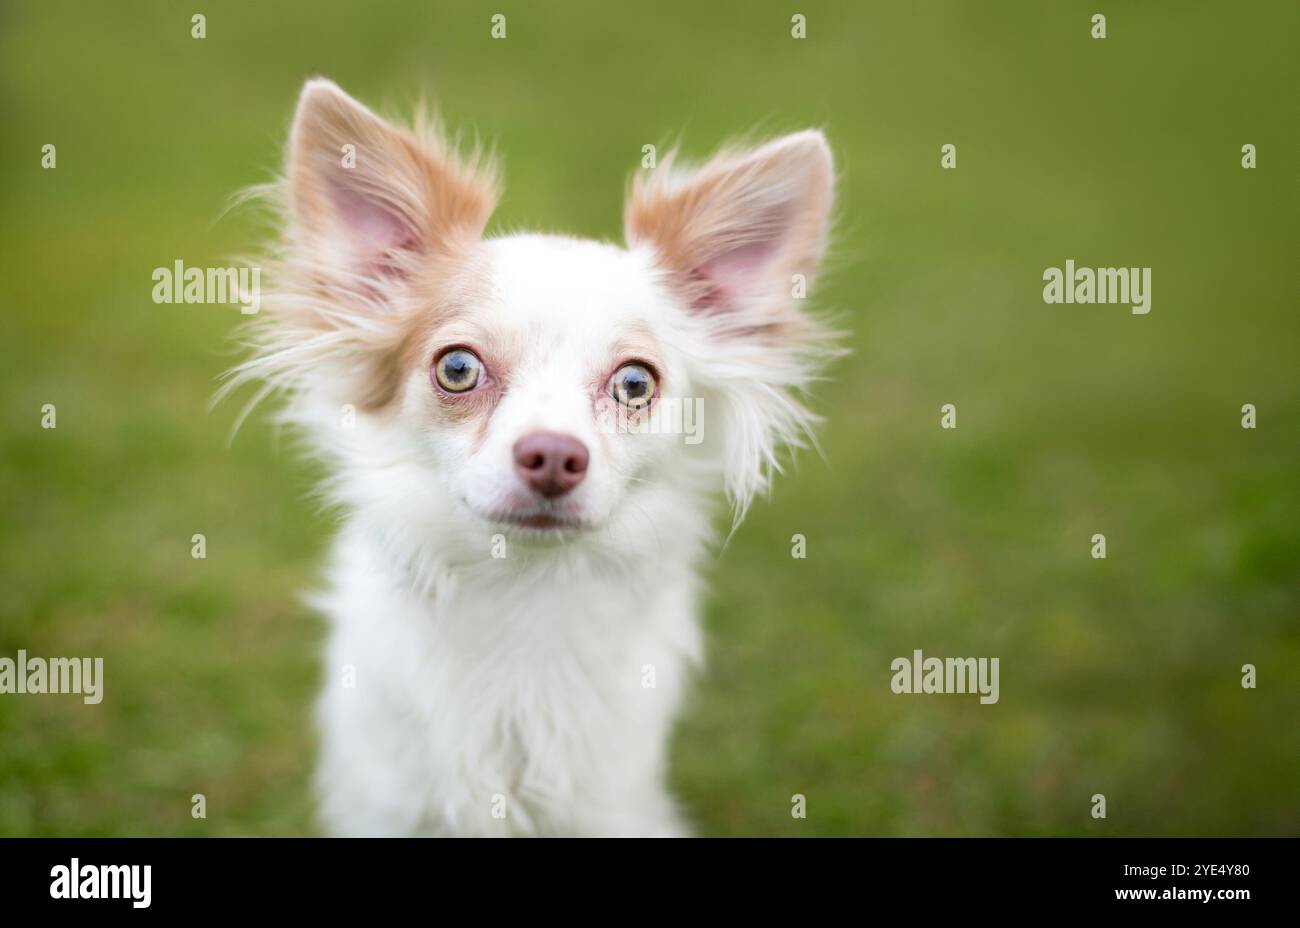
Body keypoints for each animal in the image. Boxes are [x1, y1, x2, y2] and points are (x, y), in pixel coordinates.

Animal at [228, 77, 837, 831]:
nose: (552, 454)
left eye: (635, 383)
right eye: (458, 368)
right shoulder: (389, 802)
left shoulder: (608, 804)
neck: (523, 594)